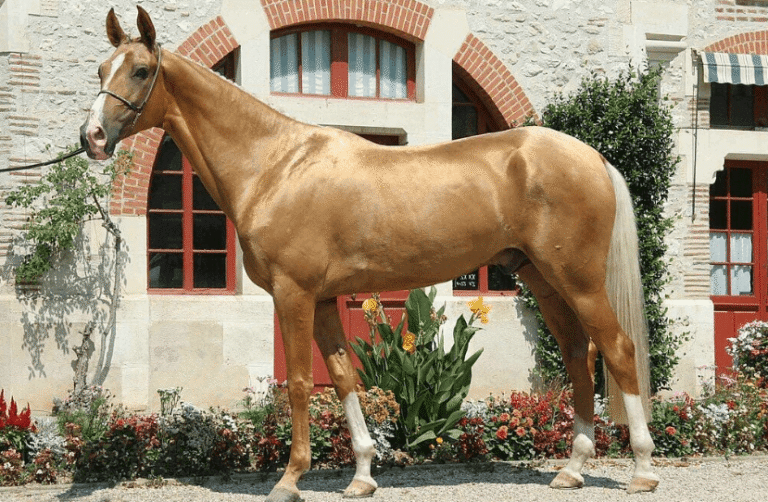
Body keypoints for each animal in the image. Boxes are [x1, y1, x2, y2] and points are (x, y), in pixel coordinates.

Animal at [80, 7, 659, 501]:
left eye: (140, 71)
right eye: (102, 69)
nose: (92, 137)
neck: (275, 166)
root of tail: (591, 157)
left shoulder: (293, 295)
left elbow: (298, 384)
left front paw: (289, 479)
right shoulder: (320, 300)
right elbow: (341, 378)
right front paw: (361, 475)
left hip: (578, 279)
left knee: (617, 348)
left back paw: (643, 469)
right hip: (541, 277)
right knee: (578, 353)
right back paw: (572, 469)